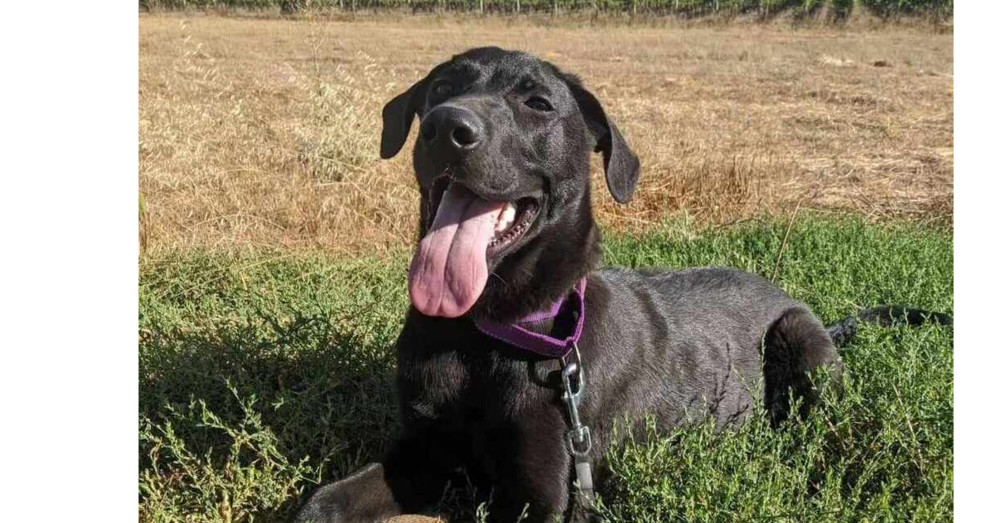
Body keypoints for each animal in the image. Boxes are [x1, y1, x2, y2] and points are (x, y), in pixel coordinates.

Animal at [298, 46, 844, 523]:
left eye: (538, 104)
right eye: (441, 88)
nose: (447, 127)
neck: (484, 334)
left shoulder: (543, 493)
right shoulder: (424, 452)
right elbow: (322, 502)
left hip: (802, 341)